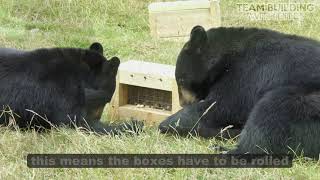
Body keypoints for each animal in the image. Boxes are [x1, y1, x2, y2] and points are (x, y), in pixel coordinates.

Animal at [160, 25, 320, 159]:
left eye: (181, 80)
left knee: (270, 111)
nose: (183, 103)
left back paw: (224, 148)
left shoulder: (245, 74)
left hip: (304, 101)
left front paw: (168, 123)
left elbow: (221, 106)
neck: (225, 59)